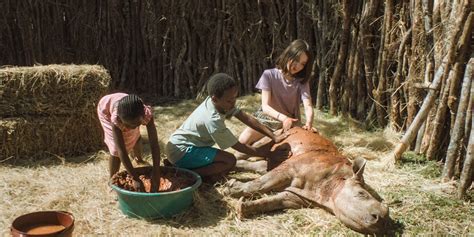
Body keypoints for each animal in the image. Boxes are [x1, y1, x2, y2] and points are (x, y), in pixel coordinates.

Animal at [228, 127, 390, 234]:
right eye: (361, 194)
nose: (382, 220)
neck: (337, 181)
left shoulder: (298, 198)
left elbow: (274, 201)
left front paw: (241, 208)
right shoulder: (291, 168)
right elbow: (261, 183)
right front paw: (231, 189)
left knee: (263, 165)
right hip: (279, 133)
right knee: (259, 147)